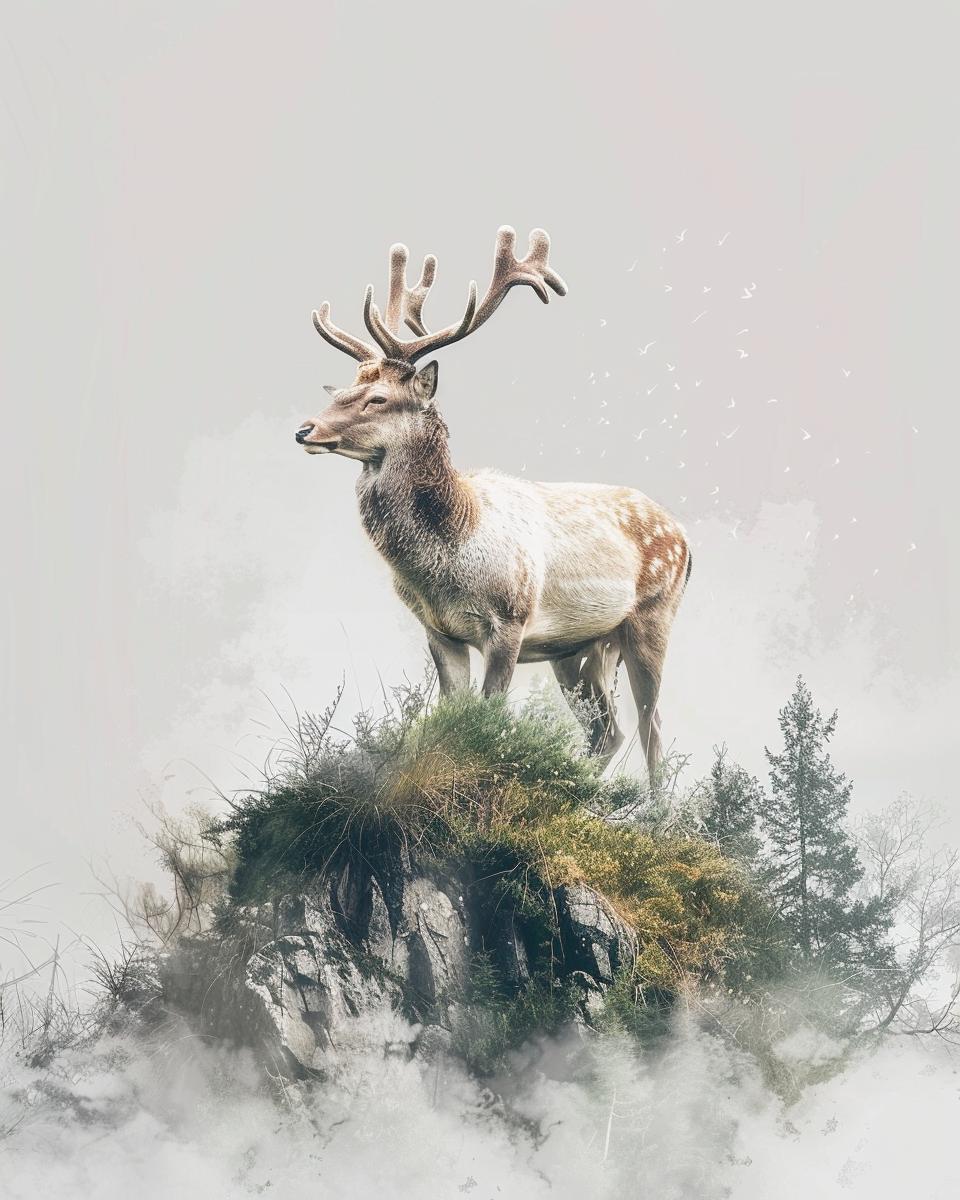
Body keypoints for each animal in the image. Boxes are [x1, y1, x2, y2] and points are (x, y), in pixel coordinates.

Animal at [296, 227, 691, 779]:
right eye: (344, 390)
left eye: (378, 398)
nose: (305, 429)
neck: (451, 552)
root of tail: (686, 539)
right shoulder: (439, 629)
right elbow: (453, 716)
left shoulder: (510, 619)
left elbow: (486, 718)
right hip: (578, 648)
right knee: (607, 732)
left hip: (652, 618)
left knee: (653, 733)